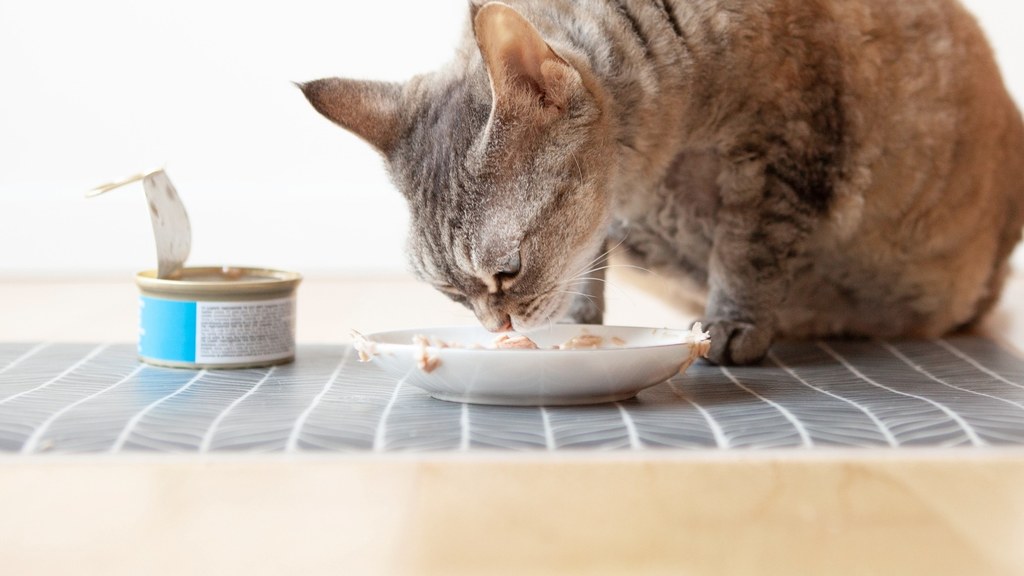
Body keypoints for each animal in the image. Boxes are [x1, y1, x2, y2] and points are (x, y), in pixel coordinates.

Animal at [299, 0, 1024, 362]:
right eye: (451, 293)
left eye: (505, 274)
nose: (495, 326)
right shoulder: (612, 227)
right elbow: (587, 274)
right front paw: (576, 324)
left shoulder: (781, 155)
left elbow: (747, 253)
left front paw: (731, 326)